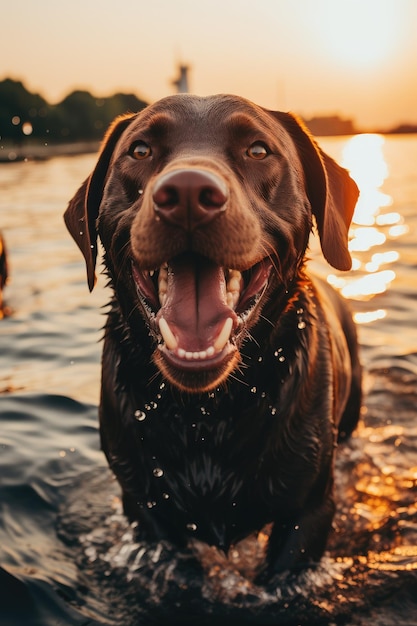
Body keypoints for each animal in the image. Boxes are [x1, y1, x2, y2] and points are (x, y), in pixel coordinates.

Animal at [65, 92, 360, 576]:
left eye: (258, 150)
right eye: (140, 150)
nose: (187, 193)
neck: (206, 413)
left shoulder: (309, 510)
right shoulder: (145, 510)